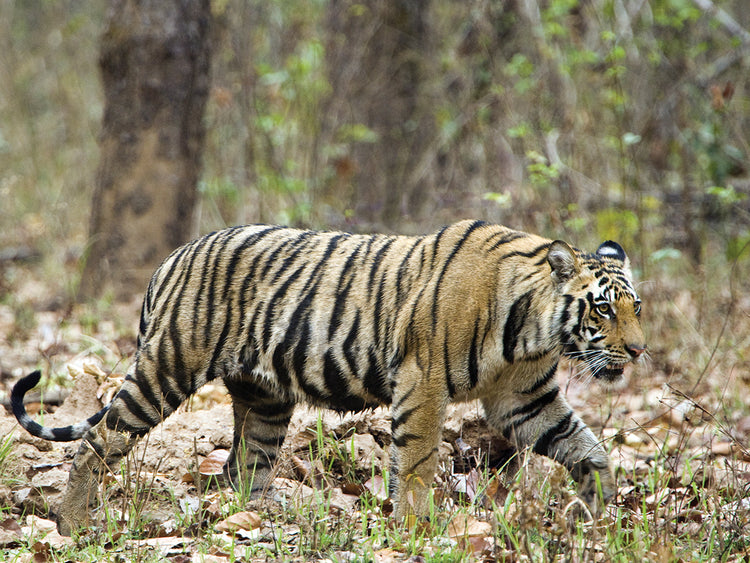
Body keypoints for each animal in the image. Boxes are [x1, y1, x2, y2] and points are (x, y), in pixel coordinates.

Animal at [11, 220, 646, 535]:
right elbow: (418, 459)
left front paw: (602, 515)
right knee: (97, 441)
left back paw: (259, 523)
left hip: (265, 400)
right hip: (167, 367)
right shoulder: (424, 383)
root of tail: (173, 256)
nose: (638, 351)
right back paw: (71, 523)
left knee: (245, 467)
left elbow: (587, 449)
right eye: (603, 309)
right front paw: (418, 526)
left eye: (636, 307)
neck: (534, 331)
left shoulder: (523, 397)